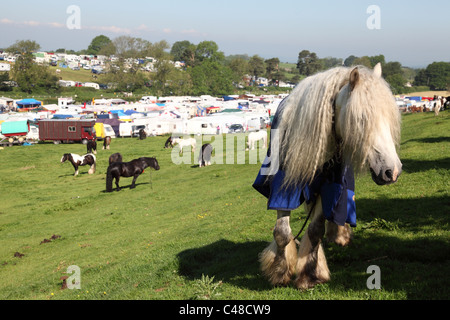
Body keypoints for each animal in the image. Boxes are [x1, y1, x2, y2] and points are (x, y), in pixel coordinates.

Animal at [251, 63, 402, 292]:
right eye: (361, 119)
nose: (392, 171)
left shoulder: (329, 186)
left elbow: (315, 231)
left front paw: (310, 275)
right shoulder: (284, 186)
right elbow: (282, 233)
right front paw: (279, 272)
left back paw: (339, 235)